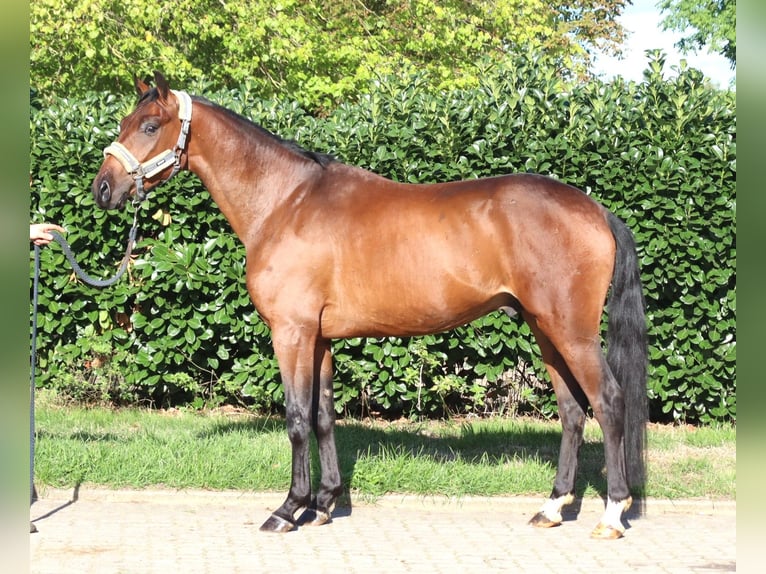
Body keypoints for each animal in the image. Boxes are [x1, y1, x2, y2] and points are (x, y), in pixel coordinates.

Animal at [92, 72, 648, 539]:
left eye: (149, 126)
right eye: (123, 123)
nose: (103, 189)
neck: (285, 202)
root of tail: (596, 210)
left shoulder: (291, 333)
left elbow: (297, 418)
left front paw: (287, 509)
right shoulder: (319, 339)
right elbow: (322, 417)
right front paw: (322, 505)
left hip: (570, 332)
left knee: (608, 402)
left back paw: (612, 514)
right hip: (545, 330)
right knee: (572, 411)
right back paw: (552, 508)